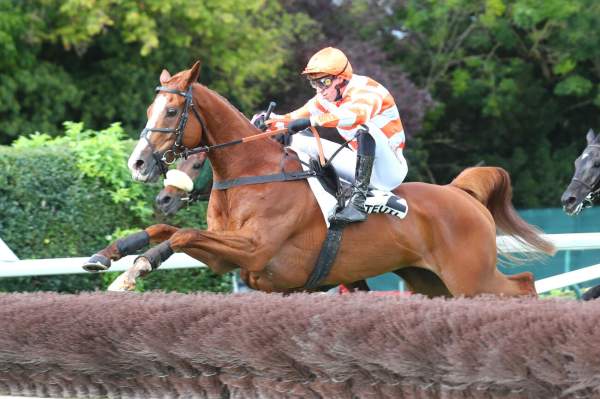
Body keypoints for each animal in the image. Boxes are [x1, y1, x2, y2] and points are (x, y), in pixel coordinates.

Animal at [84, 61, 552, 296]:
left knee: (524, 286)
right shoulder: (227, 257)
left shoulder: (254, 249)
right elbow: (165, 231)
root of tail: (461, 194)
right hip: (431, 282)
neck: (252, 176)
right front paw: (107, 255)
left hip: (471, 277)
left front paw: (134, 270)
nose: (138, 164)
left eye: (171, 111)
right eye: (150, 109)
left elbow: (180, 234)